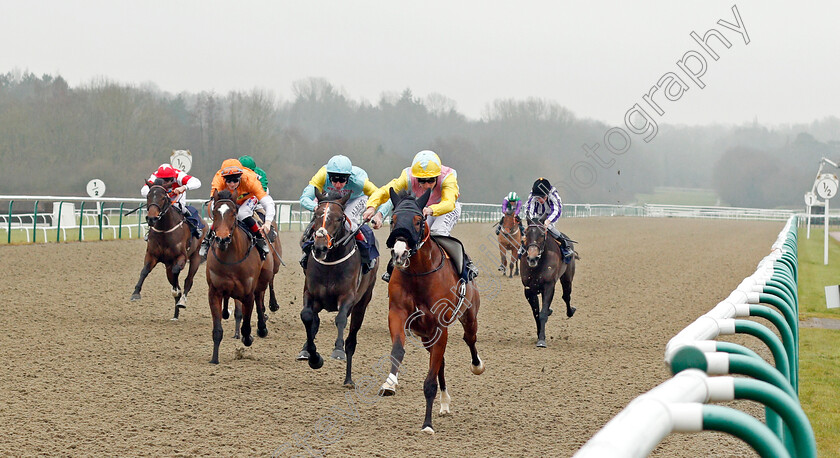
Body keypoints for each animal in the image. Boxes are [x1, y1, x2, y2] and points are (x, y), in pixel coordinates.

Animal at [130, 181, 206, 320]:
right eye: (148, 196)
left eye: (163, 197)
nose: (151, 218)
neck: (164, 230)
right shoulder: (152, 255)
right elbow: (144, 271)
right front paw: (136, 293)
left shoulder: (181, 257)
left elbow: (177, 274)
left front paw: (176, 291)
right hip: (168, 267)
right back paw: (175, 314)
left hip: (196, 257)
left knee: (188, 281)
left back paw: (182, 301)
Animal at [204, 190, 280, 364]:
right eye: (215, 213)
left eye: (233, 213)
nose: (222, 239)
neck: (230, 258)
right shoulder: (214, 292)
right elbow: (217, 329)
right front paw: (214, 358)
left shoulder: (247, 294)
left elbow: (246, 325)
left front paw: (248, 337)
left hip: (264, 277)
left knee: (260, 298)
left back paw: (262, 326)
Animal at [296, 188, 374, 388]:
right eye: (316, 215)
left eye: (339, 218)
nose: (320, 247)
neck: (330, 263)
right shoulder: (310, 294)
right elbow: (307, 317)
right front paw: (313, 357)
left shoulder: (348, 297)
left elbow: (340, 319)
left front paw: (338, 349)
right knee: (314, 321)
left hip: (362, 304)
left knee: (352, 340)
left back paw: (348, 379)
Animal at [378, 188, 482, 434]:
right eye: (393, 219)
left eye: (418, 220)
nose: (399, 254)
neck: (418, 273)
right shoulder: (397, 314)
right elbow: (398, 350)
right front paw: (390, 383)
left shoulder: (440, 327)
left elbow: (429, 382)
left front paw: (427, 424)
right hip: (426, 336)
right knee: (440, 363)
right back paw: (444, 403)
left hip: (468, 316)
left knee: (469, 339)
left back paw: (477, 366)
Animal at [520, 218, 576, 348]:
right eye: (526, 234)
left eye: (542, 235)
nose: (532, 258)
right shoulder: (529, 290)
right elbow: (536, 314)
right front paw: (539, 335)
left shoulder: (549, 286)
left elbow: (543, 313)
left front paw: (541, 339)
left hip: (567, 278)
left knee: (566, 296)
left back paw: (570, 311)